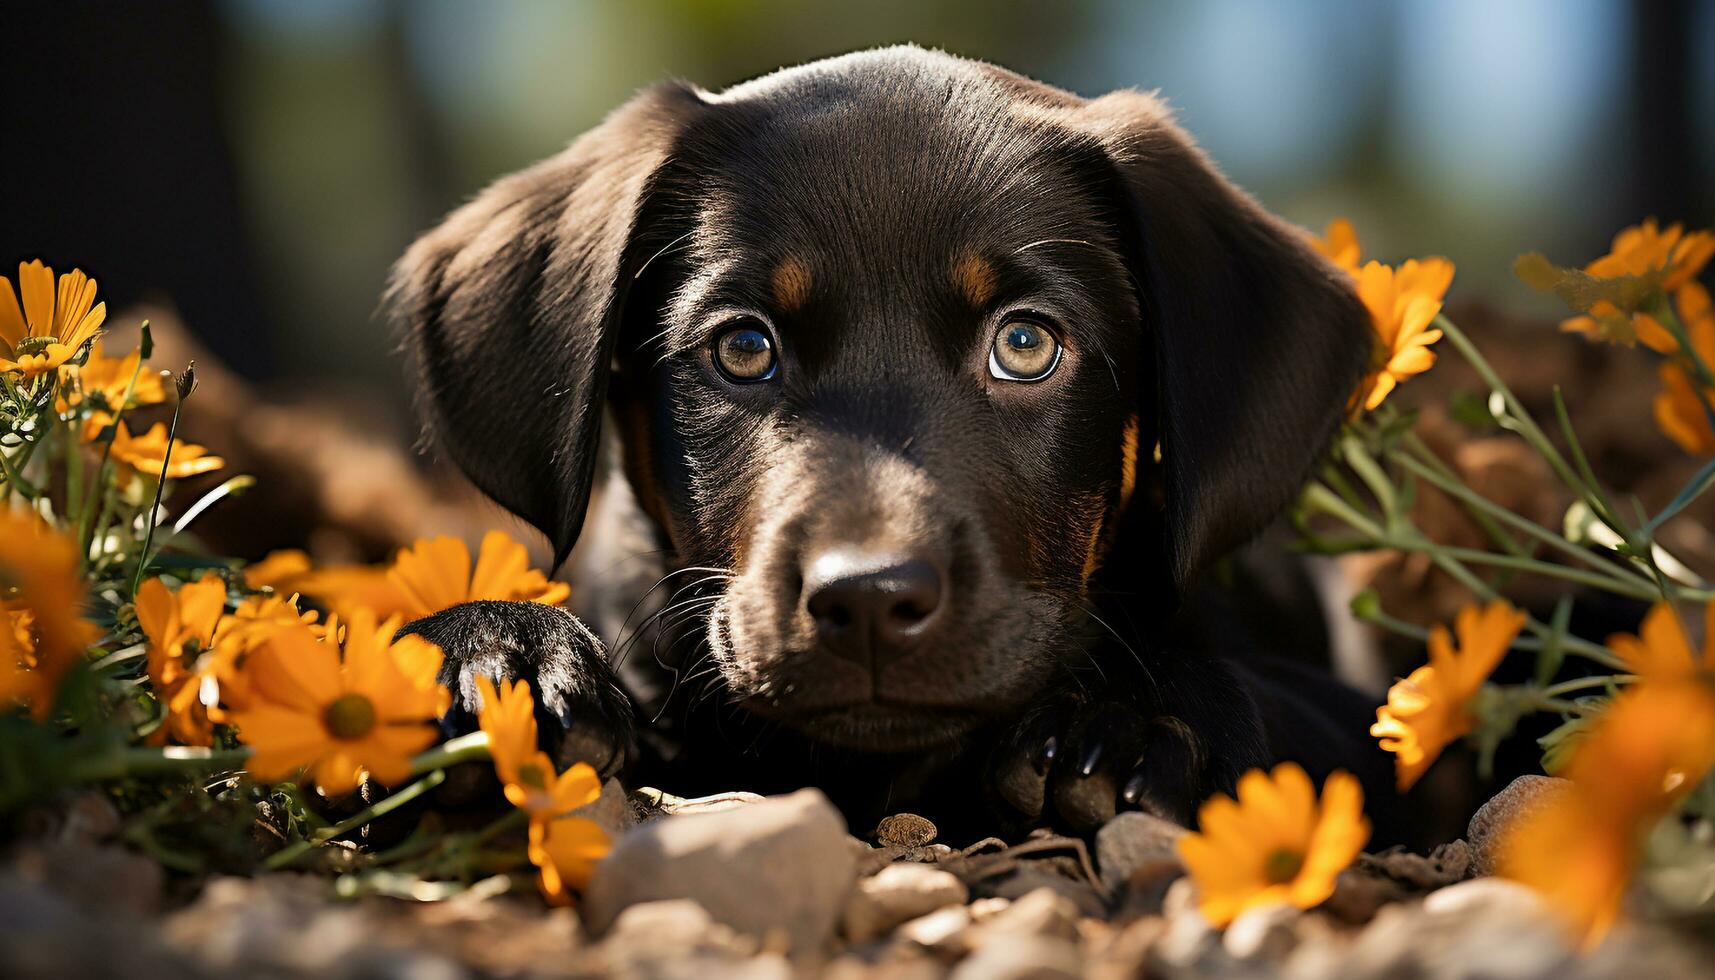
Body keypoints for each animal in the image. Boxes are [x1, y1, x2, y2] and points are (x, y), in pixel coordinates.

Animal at [394, 45, 1413, 844]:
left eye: (1025, 343)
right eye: (742, 349)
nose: (871, 599)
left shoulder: (1361, 729)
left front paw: (1130, 715)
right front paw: (490, 655)